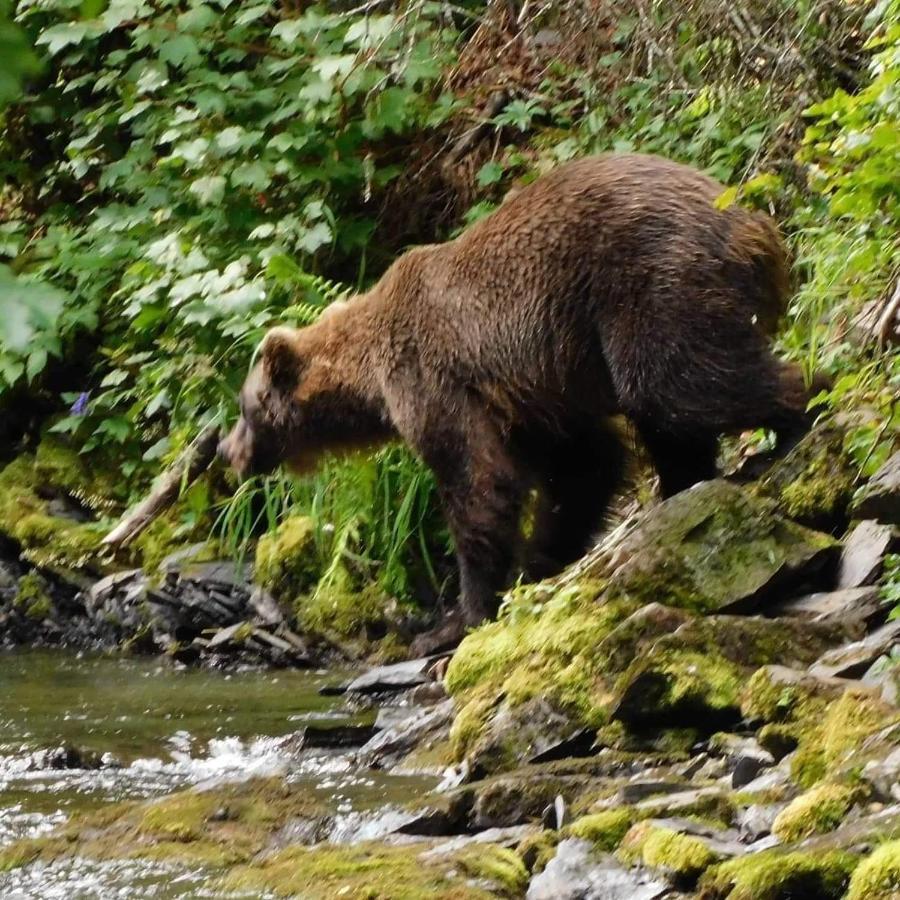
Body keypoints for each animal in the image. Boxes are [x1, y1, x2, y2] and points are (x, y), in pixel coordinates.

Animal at [220, 151, 824, 652]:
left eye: (246, 409)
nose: (228, 452)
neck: (368, 373)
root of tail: (758, 225)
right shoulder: (530, 398)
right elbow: (583, 466)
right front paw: (542, 561)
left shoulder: (434, 379)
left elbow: (479, 482)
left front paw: (453, 620)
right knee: (669, 420)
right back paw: (683, 492)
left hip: (656, 284)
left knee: (680, 383)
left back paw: (799, 417)